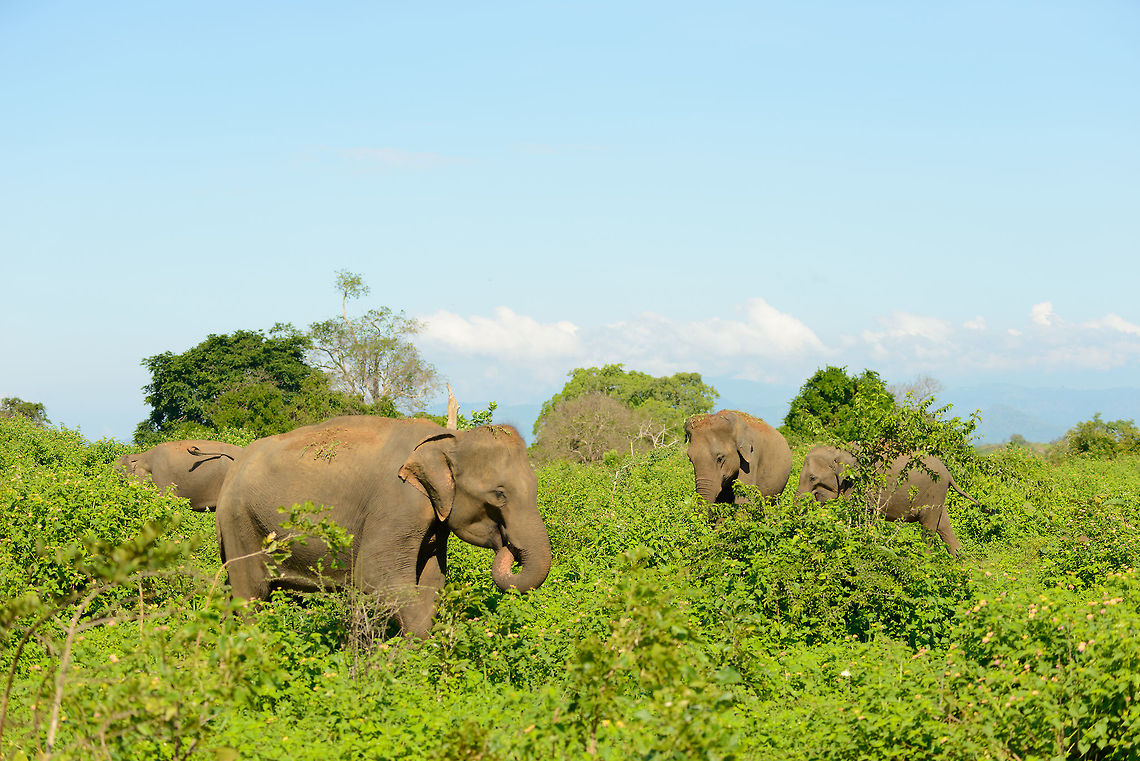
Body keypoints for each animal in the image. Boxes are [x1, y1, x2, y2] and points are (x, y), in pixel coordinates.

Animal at [215, 416, 553, 637]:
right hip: (240, 521)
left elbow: (431, 580)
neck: (448, 438)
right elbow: (376, 576)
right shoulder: (397, 504)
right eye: (499, 494)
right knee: (250, 595)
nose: (508, 546)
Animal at [795, 445, 981, 555]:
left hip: (935, 490)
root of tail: (948, 473)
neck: (839, 450)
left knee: (929, 527)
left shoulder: (861, 485)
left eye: (812, 478)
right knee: (943, 525)